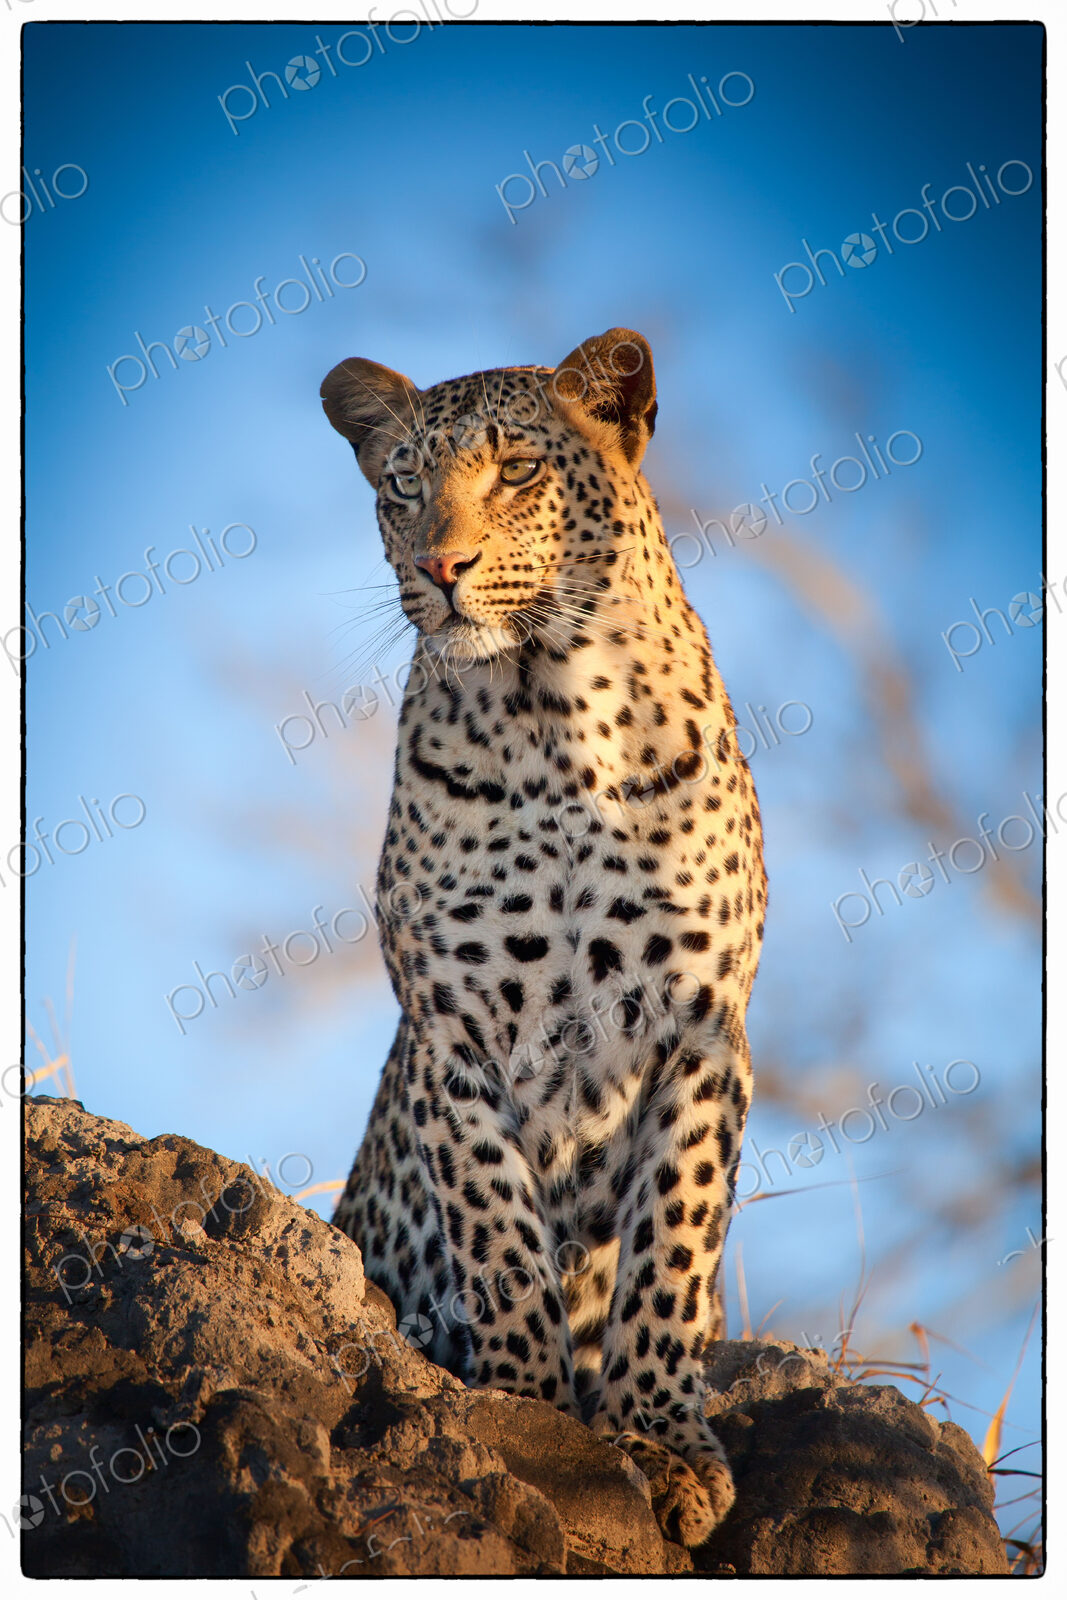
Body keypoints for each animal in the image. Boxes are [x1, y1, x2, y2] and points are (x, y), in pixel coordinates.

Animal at [320, 327, 766, 1548]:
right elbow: (498, 1228)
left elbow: (672, 1244)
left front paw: (657, 1439)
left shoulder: (703, 1030)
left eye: (517, 469)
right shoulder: (451, 1030)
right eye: (401, 485)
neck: (550, 716)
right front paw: (525, 1409)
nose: (441, 568)